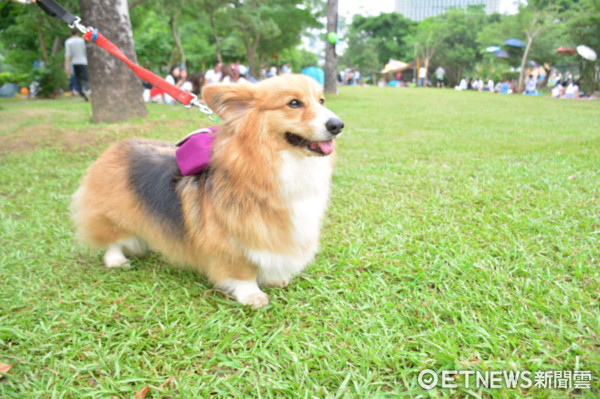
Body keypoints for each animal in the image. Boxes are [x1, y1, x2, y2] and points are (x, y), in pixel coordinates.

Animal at [69, 74, 344, 310]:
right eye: (294, 103)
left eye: (321, 100)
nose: (338, 125)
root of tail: (116, 147)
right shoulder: (228, 240)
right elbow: (243, 272)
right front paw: (252, 295)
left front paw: (275, 279)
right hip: (113, 214)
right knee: (112, 239)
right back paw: (117, 260)